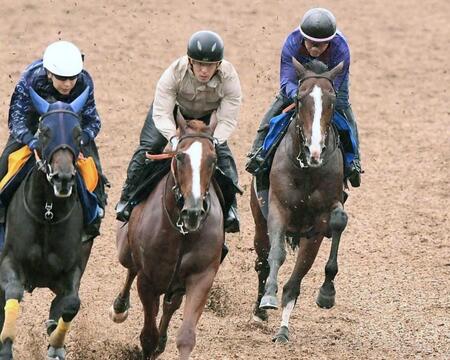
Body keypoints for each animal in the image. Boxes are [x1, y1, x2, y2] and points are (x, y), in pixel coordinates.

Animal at [0, 87, 92, 360]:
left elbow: (71, 303)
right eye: (43, 131)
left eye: (78, 133)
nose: (63, 178)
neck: (48, 212)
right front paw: (6, 345)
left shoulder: (73, 268)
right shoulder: (9, 260)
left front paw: (55, 343)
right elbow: (13, 292)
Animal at [110, 113, 224, 360]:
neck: (181, 233)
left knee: (171, 305)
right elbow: (148, 335)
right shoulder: (148, 280)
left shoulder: (202, 277)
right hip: (125, 250)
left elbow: (185, 336)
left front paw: (165, 343)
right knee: (130, 269)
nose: (193, 212)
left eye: (212, 160)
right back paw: (119, 308)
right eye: (180, 157)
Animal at [251, 59, 350, 344]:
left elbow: (338, 221)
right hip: (258, 220)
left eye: (332, 100)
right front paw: (268, 297)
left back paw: (282, 328)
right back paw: (259, 310)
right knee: (262, 260)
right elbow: (276, 253)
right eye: (298, 98)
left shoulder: (319, 223)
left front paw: (326, 294)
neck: (307, 169)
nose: (314, 150)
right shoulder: (277, 208)